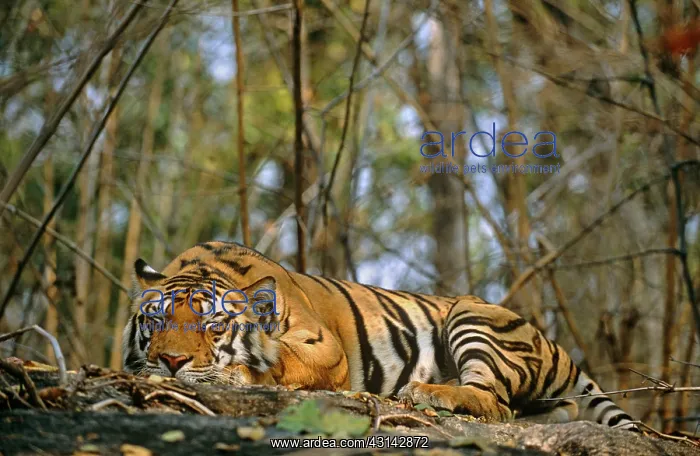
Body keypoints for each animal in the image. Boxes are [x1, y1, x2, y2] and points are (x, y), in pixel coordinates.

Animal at [122, 240, 638, 431]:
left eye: (212, 326)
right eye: (156, 322)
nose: (171, 362)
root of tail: (557, 347)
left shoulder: (326, 350)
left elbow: (280, 362)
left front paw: (234, 374)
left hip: (471, 315)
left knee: (495, 401)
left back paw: (429, 391)